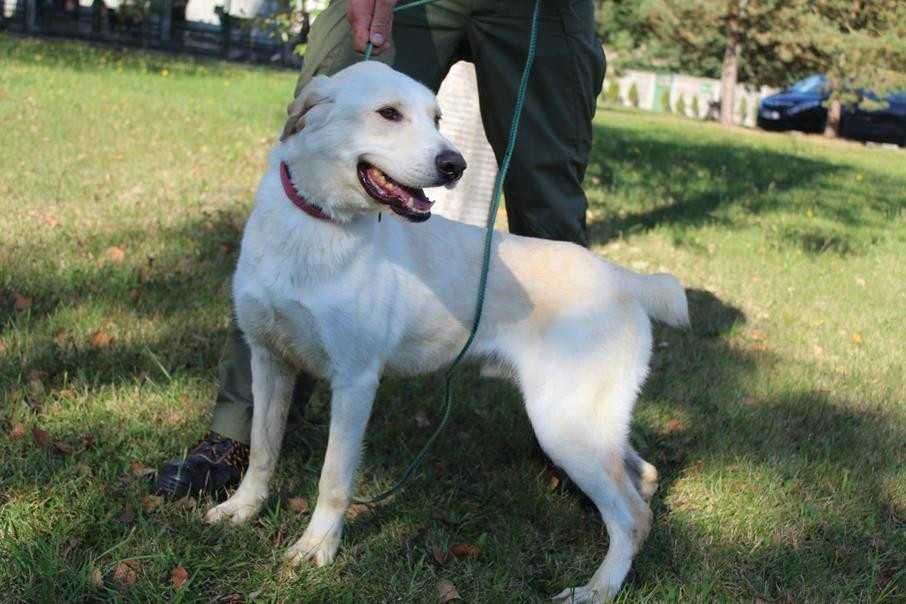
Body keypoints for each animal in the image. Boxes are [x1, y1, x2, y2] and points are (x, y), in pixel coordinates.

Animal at [205, 60, 684, 600]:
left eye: (436, 118)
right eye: (389, 113)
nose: (456, 165)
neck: (320, 224)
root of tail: (622, 277)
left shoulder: (355, 382)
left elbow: (333, 479)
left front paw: (318, 549)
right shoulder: (268, 360)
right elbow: (262, 450)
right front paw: (244, 509)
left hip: (564, 426)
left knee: (632, 517)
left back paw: (596, 589)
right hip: (591, 426)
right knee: (645, 477)